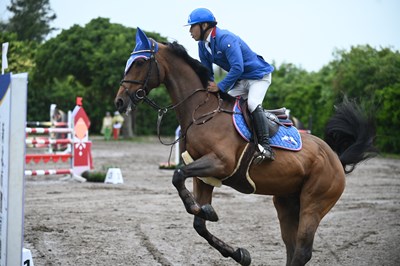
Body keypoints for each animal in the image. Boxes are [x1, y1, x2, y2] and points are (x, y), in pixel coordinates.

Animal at [114, 28, 376, 266]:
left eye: (139, 62)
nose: (120, 101)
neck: (201, 111)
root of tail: (335, 157)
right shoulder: (204, 175)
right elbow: (199, 223)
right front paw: (235, 248)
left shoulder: (220, 163)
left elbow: (177, 175)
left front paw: (207, 212)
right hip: (286, 202)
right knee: (292, 247)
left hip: (314, 203)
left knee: (302, 251)